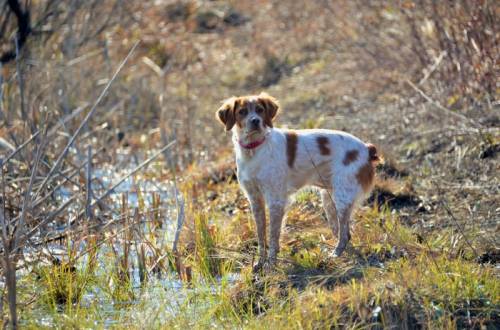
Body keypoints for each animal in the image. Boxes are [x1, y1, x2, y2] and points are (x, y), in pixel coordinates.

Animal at [215, 93, 378, 270]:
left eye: (260, 110)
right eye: (242, 112)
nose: (255, 121)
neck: (254, 150)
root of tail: (366, 148)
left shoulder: (276, 200)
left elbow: (273, 236)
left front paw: (271, 265)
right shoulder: (255, 200)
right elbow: (261, 235)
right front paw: (260, 262)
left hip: (342, 199)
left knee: (344, 234)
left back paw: (334, 255)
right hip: (329, 200)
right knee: (343, 232)